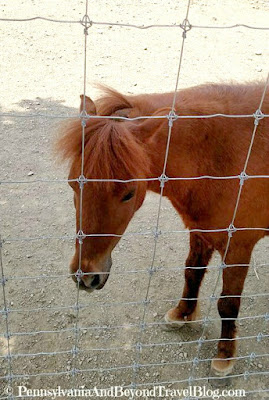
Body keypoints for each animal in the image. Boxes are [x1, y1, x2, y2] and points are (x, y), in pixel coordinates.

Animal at [57, 82, 268, 378]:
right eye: (72, 183)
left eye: (128, 194)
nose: (86, 277)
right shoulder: (200, 232)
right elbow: (192, 273)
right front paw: (182, 314)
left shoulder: (238, 245)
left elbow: (228, 302)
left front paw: (225, 356)